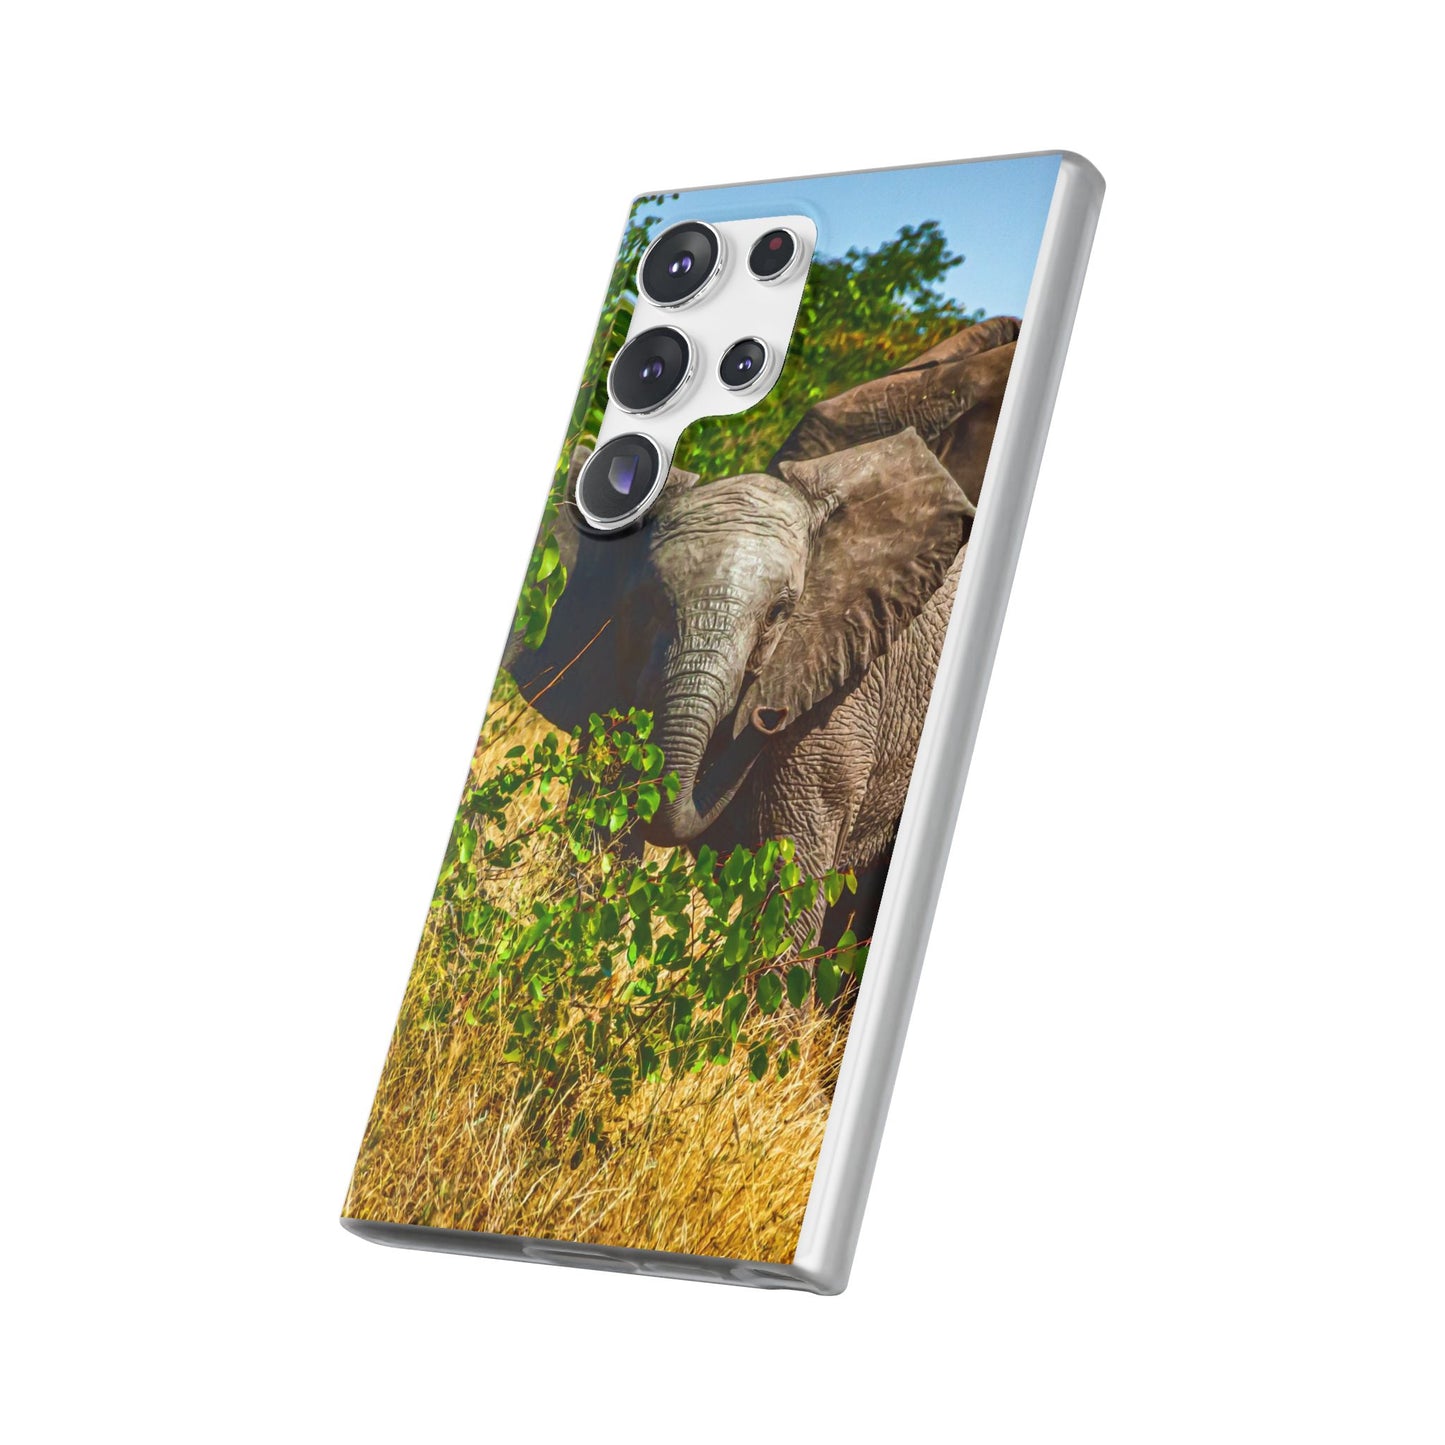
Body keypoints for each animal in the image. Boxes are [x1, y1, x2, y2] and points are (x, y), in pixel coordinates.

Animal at [503, 316, 1020, 945]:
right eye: (644, 604)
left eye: (779, 613)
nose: (763, 715)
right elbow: (597, 829)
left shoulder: (842, 694)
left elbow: (787, 886)